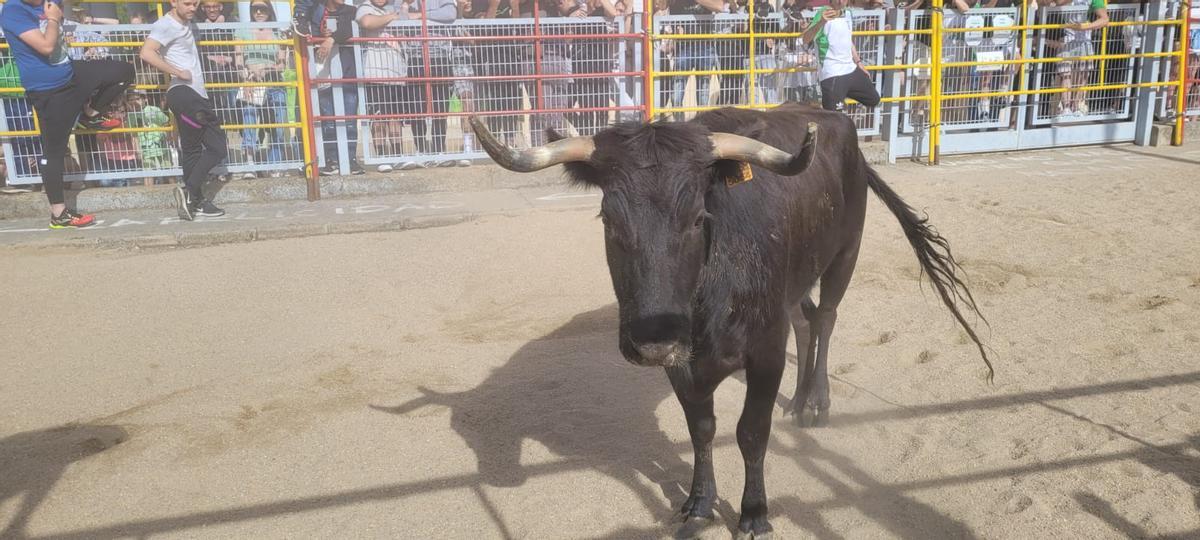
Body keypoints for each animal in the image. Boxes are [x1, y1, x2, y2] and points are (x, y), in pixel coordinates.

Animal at [463, 103, 988, 537]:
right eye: (609, 221)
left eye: (698, 217)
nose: (652, 343)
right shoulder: (684, 364)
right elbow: (702, 428)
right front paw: (699, 505)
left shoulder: (766, 353)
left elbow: (750, 433)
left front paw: (754, 513)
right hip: (792, 286)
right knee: (805, 319)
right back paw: (798, 401)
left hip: (845, 254)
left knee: (827, 318)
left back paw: (817, 402)